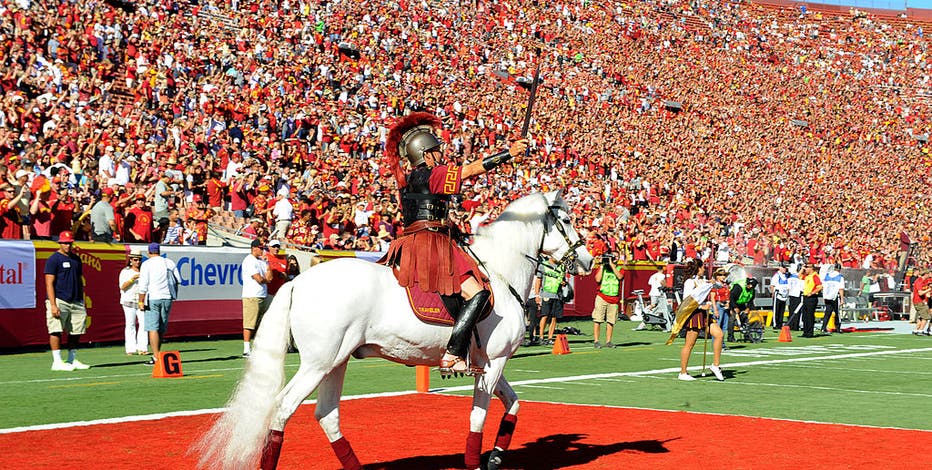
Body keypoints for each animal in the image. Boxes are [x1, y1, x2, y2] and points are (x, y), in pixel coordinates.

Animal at [197, 190, 592, 470]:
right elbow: (478, 418)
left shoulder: (488, 363)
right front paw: (479, 460)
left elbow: (513, 405)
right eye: (566, 220)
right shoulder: (493, 363)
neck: (500, 272)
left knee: (326, 415)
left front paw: (495, 456)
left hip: (336, 362)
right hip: (317, 364)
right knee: (282, 409)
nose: (588, 261)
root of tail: (297, 281)